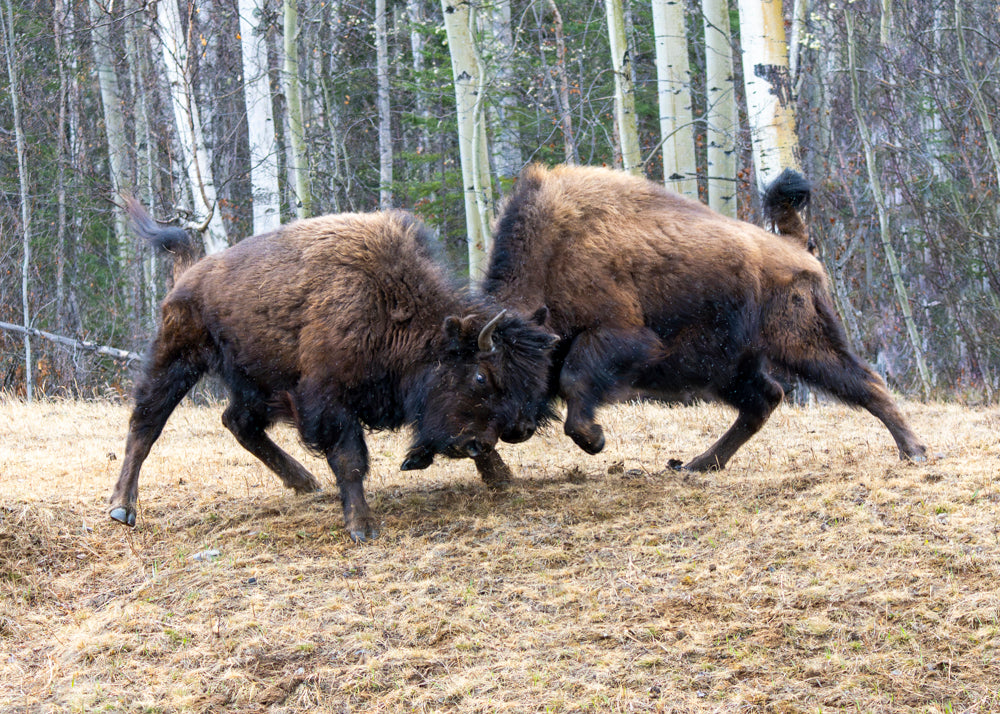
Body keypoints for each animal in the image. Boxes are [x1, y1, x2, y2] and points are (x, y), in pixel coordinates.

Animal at [114, 200, 564, 540]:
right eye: (480, 376)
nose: (516, 431)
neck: (391, 306)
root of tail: (190, 273)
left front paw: (500, 477)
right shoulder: (330, 402)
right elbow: (350, 460)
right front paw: (363, 527)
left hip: (260, 382)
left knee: (238, 421)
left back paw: (303, 482)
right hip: (177, 358)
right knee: (146, 423)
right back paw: (122, 508)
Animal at [480, 164, 924, 470]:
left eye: (505, 368)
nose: (513, 431)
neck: (554, 253)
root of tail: (795, 246)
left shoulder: (617, 336)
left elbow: (575, 380)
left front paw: (594, 440)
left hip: (801, 343)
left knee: (865, 382)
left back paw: (914, 452)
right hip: (725, 366)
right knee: (764, 400)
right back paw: (698, 464)